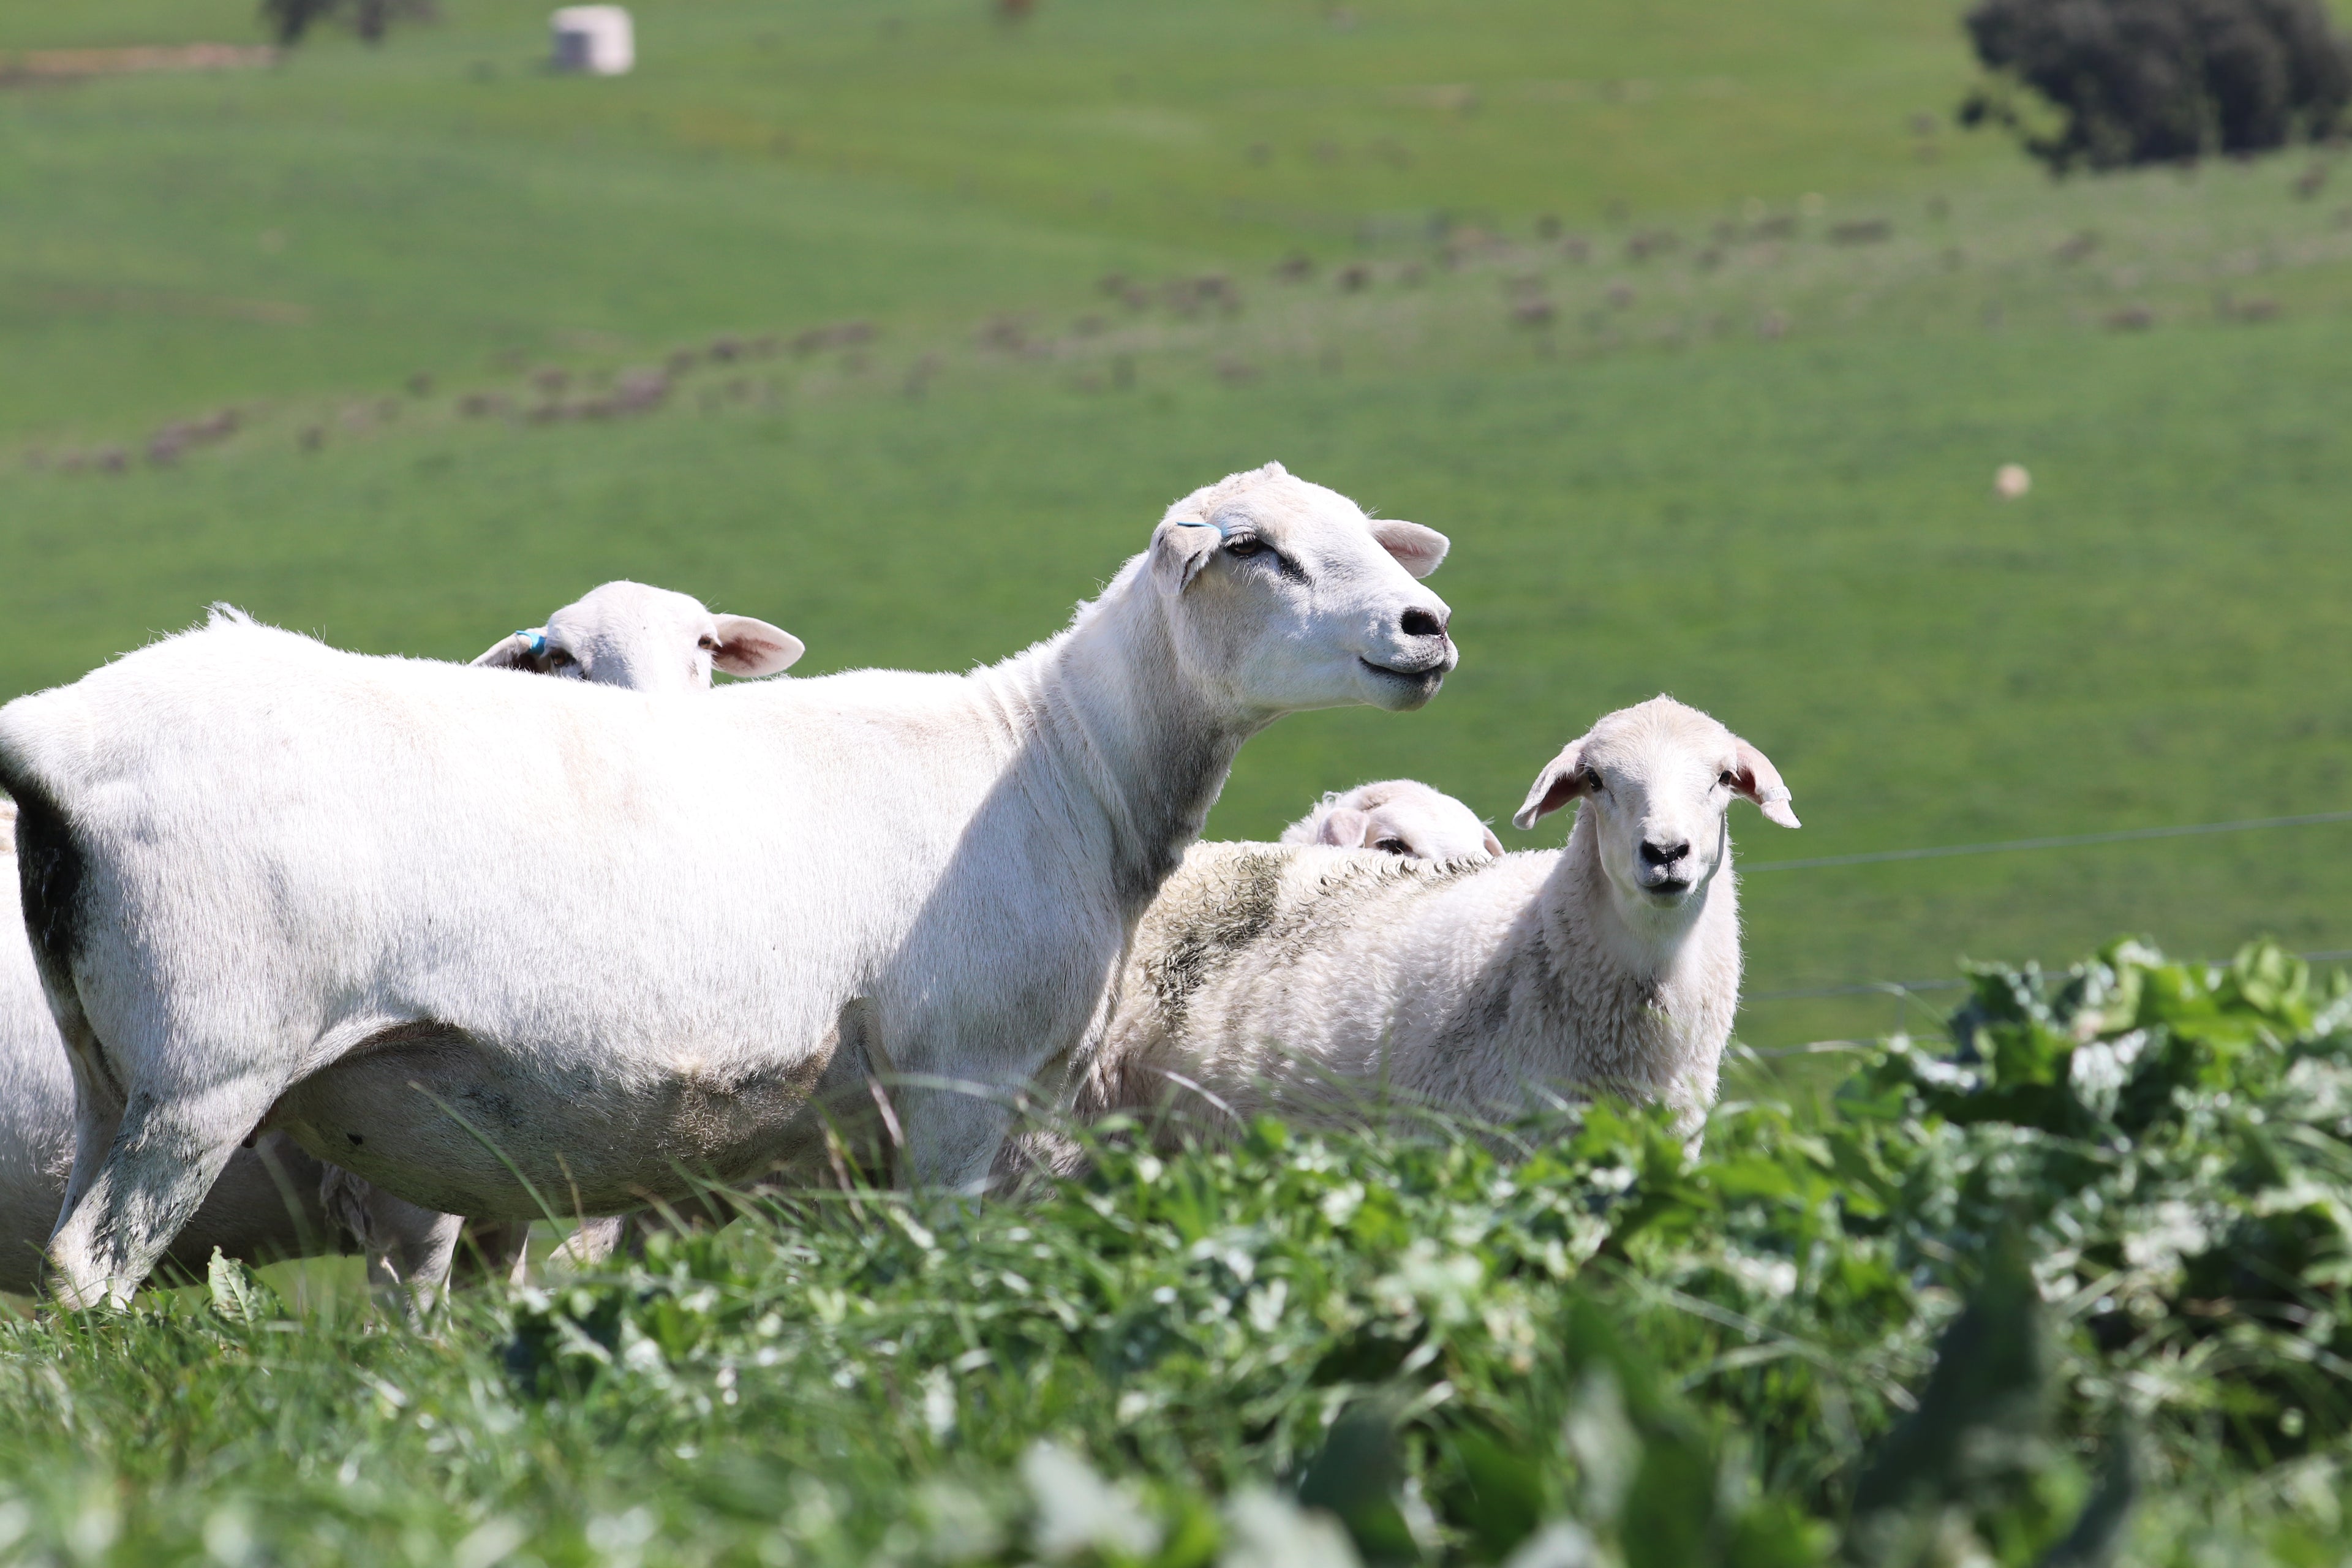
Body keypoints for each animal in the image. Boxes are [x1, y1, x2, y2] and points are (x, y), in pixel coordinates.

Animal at [0, 581, 803, 1300]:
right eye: (564, 657)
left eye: (705, 646)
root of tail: (57, 739)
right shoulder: (406, 1156)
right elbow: (413, 1299)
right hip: (202, 1069)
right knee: (90, 1261)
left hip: (105, 1083)